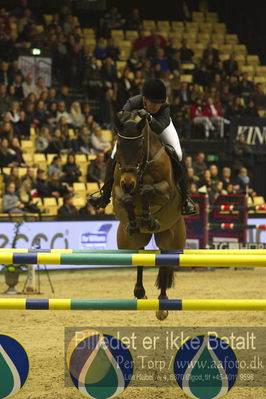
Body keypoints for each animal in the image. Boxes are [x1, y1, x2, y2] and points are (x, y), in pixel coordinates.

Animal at [112, 110, 187, 322]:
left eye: (139, 146)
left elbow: (147, 190)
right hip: (131, 242)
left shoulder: (167, 190)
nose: (128, 182)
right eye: (119, 146)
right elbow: (127, 199)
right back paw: (139, 292)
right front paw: (136, 220)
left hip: (171, 238)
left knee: (165, 264)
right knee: (139, 258)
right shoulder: (118, 190)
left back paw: (162, 305)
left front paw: (148, 217)